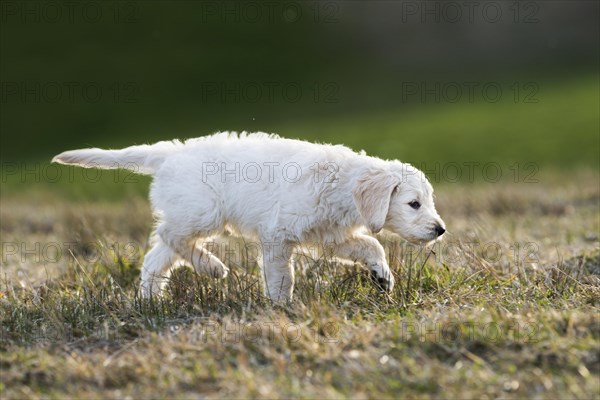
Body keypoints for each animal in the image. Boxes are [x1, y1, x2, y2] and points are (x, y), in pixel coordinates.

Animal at [52, 133, 446, 302]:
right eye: (413, 204)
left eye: (428, 202)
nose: (440, 230)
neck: (340, 183)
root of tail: (169, 153)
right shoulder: (278, 234)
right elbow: (281, 276)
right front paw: (282, 306)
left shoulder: (329, 236)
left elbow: (370, 245)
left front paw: (383, 277)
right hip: (205, 210)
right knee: (170, 236)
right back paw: (212, 267)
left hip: (188, 211)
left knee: (157, 254)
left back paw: (151, 300)